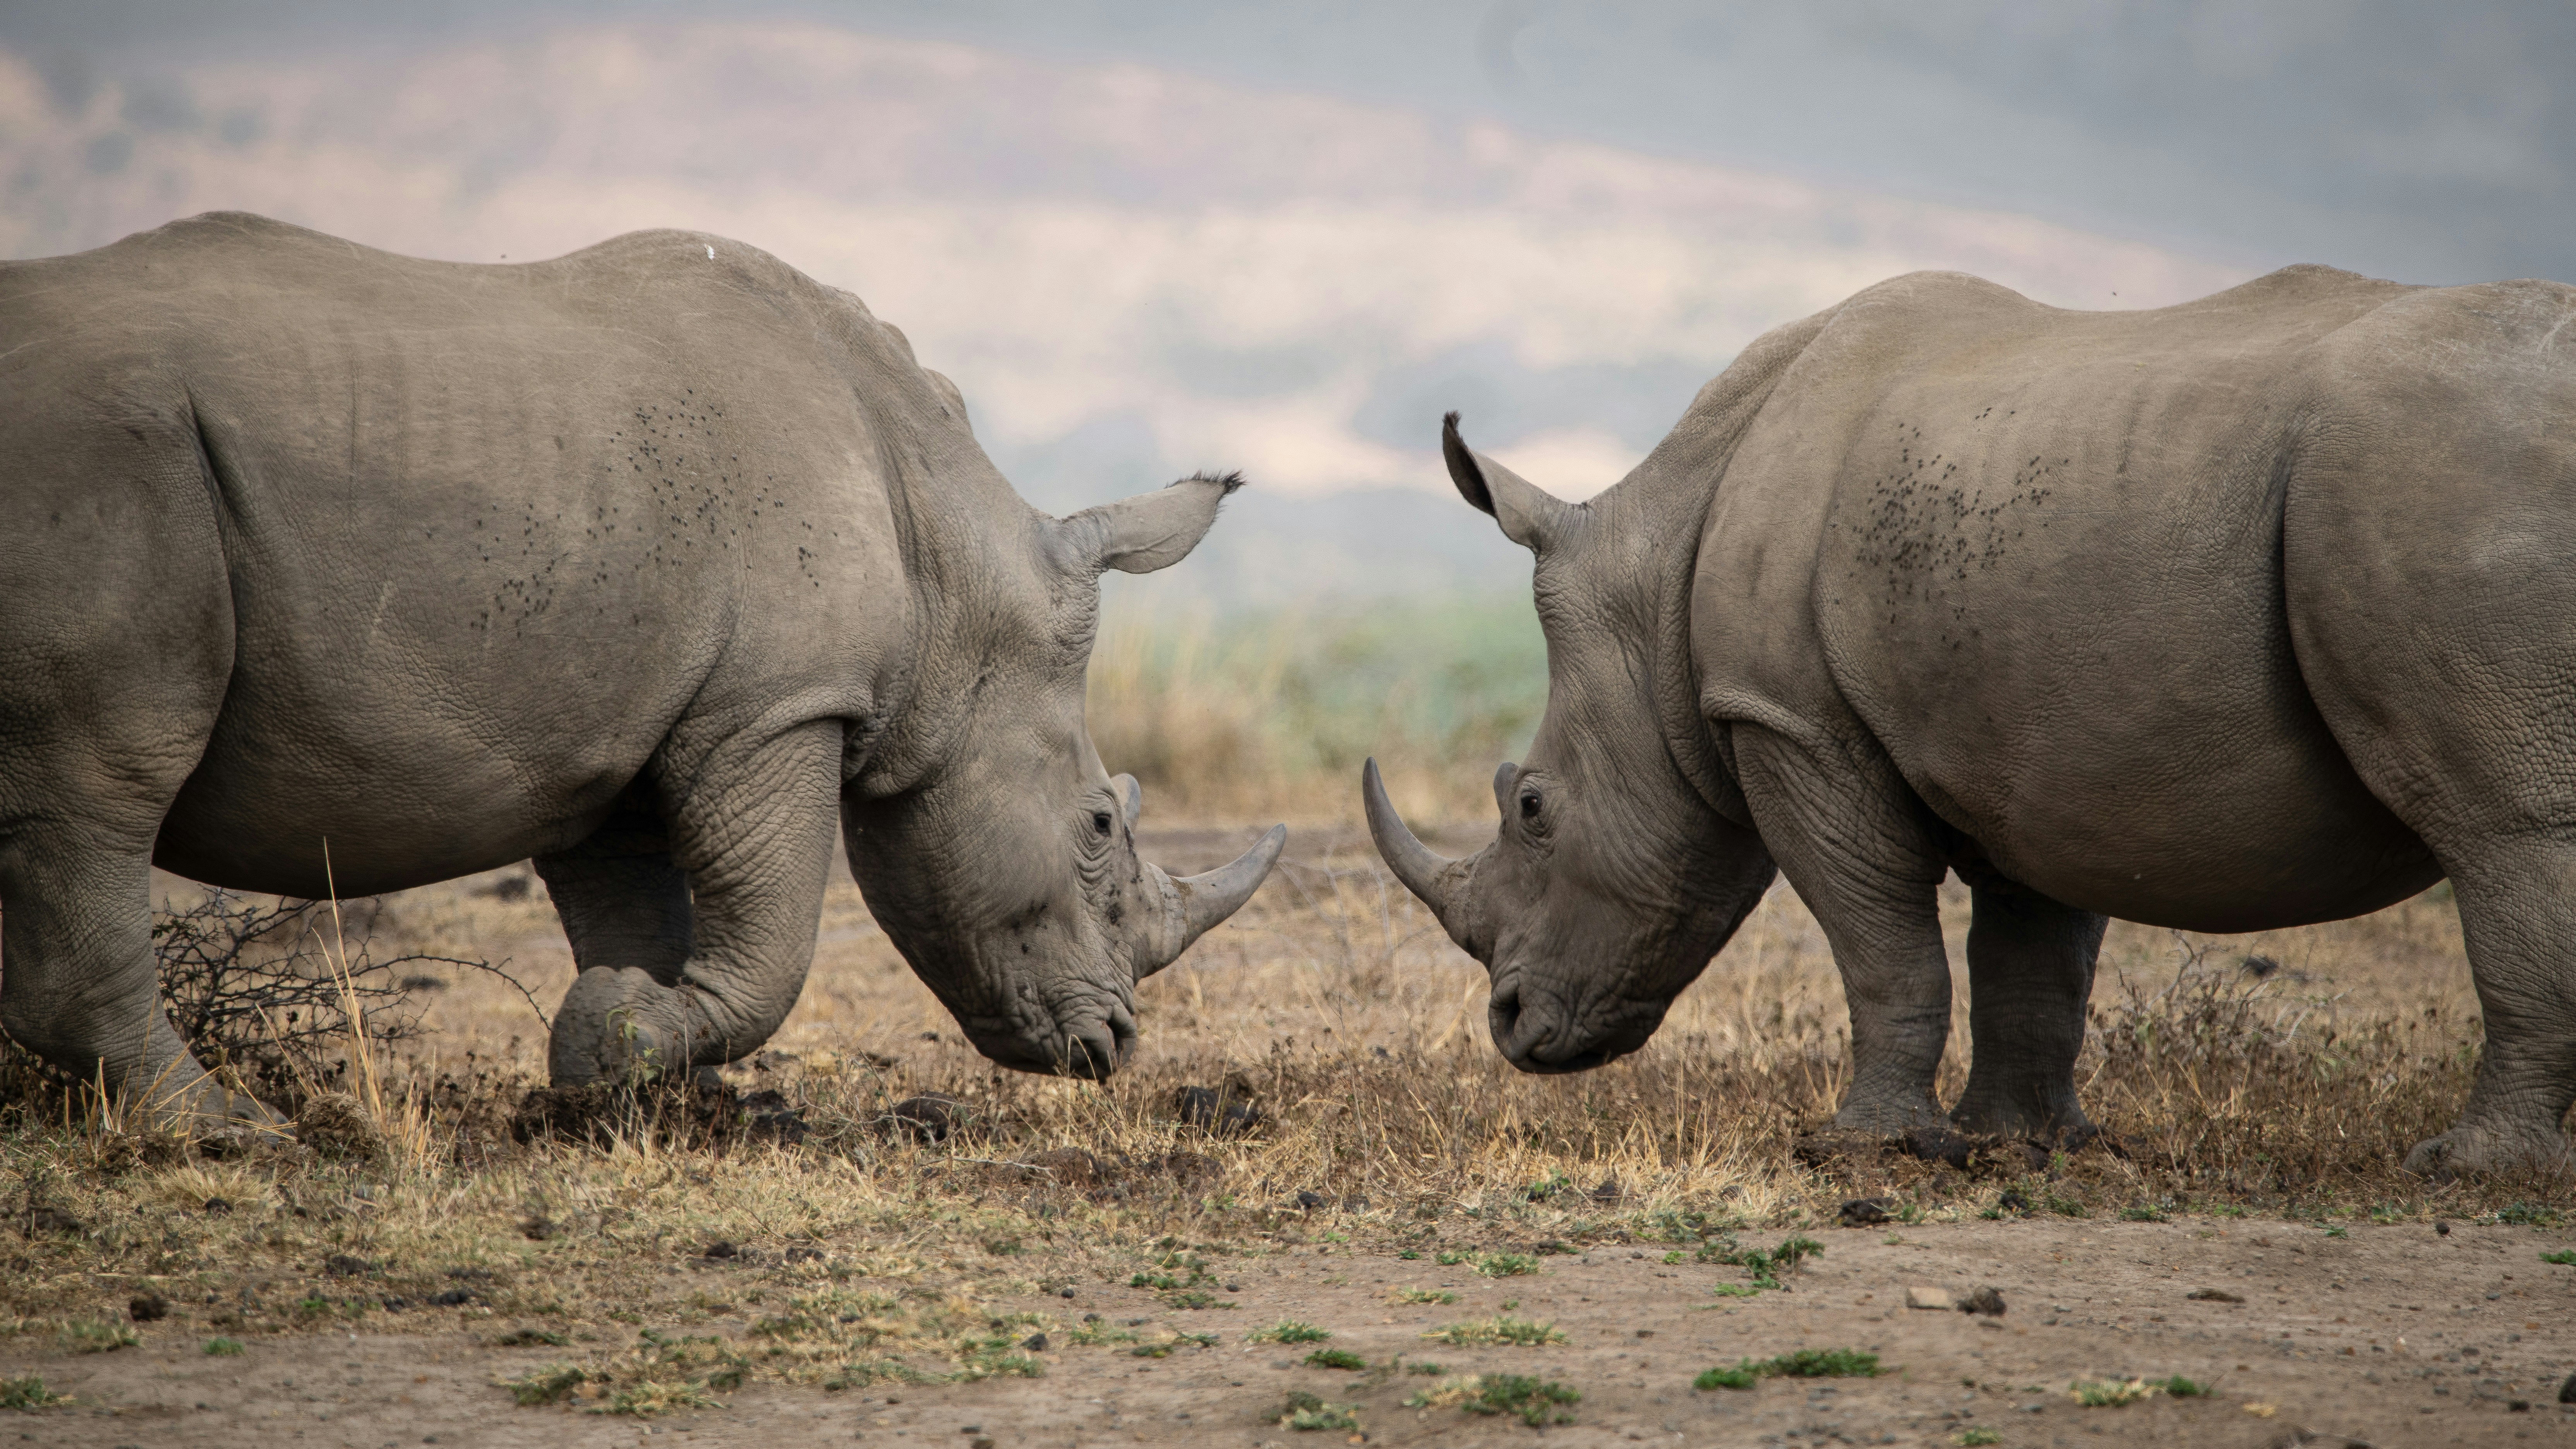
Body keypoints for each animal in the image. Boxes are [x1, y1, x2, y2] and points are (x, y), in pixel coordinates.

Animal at [0, 211, 1283, 1122]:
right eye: (1099, 827)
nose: (1113, 1046)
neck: (953, 568)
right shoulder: (776, 708)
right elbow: (773, 935)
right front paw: (621, 1042)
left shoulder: (618, 723)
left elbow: (637, 907)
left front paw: (652, 1078)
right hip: (116, 468)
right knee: (104, 783)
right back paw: (228, 1132)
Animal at [1366, 263, 2576, 1178]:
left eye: (1532, 807)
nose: (1510, 1025)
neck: (1653, 575)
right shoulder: (2039, 742)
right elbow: (2030, 953)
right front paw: (2023, 1144)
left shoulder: (1787, 720)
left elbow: (1878, 940)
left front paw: (1868, 1150)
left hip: (2440, 481)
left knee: (2501, 829)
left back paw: (2465, 1168)